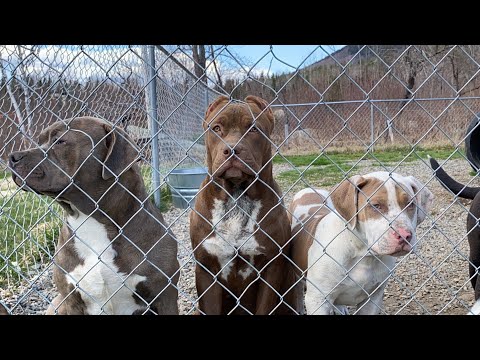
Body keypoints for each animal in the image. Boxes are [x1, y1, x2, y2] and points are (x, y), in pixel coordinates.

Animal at [7, 116, 180, 314]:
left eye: (60, 141)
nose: (12, 157)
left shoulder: (165, 297)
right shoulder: (70, 300)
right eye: (39, 141)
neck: (91, 221)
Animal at [190, 94, 296, 314]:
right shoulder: (206, 269)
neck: (237, 197)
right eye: (217, 128)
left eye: (253, 129)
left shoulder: (271, 267)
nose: (231, 149)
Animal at [288, 172, 436, 316]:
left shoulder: (372, 299)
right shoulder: (318, 300)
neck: (363, 254)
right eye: (376, 206)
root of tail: (307, 190)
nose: (405, 235)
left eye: (410, 204)